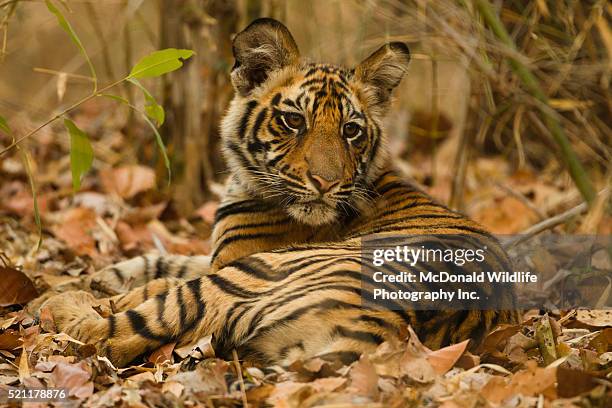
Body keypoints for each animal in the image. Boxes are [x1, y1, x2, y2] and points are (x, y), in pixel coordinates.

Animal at [40, 18, 512, 366]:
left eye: (351, 130)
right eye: (294, 121)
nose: (326, 182)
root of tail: (388, 326)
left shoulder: (236, 257)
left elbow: (164, 279)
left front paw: (97, 286)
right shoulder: (218, 252)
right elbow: (166, 259)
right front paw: (106, 274)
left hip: (249, 275)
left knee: (126, 329)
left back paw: (60, 303)